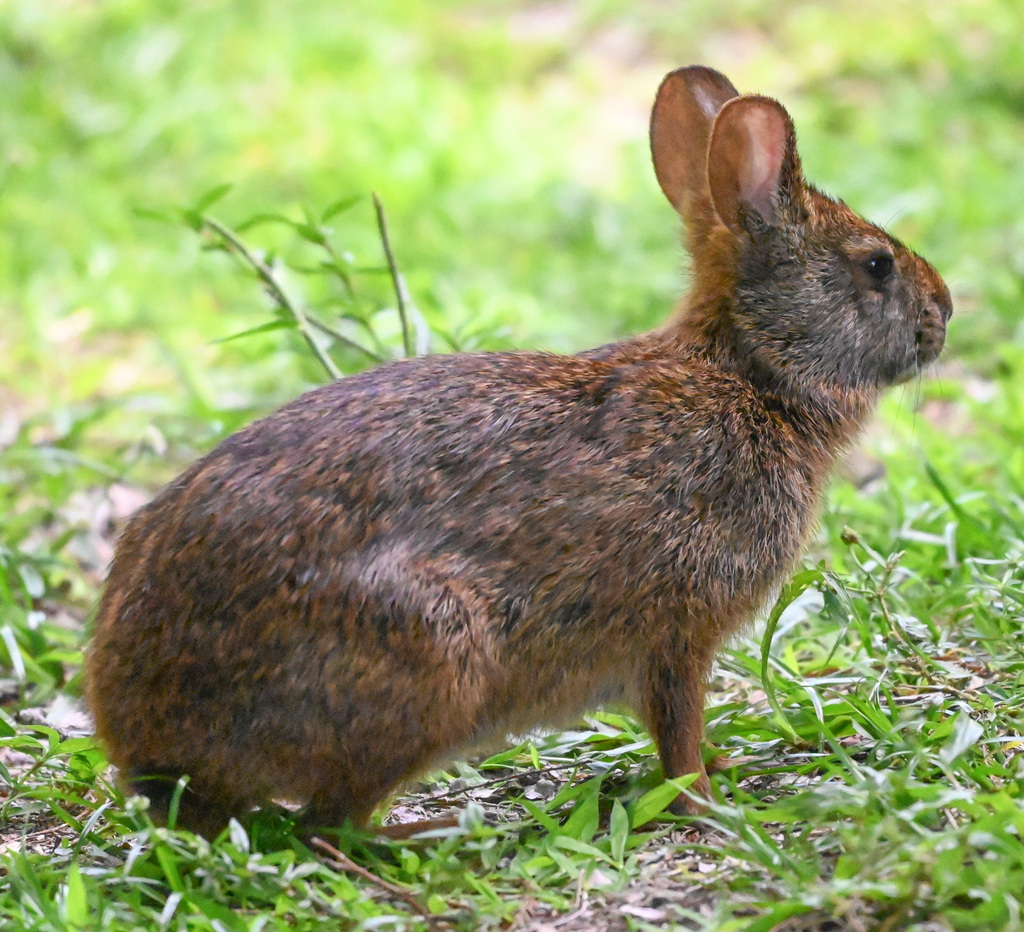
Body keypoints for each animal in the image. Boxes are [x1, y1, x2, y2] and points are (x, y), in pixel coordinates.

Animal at [86, 66, 951, 837]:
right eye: (876, 265)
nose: (944, 312)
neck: (752, 373)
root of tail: (148, 744)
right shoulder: (676, 633)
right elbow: (677, 733)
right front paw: (709, 801)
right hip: (435, 651)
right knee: (327, 827)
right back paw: (426, 834)